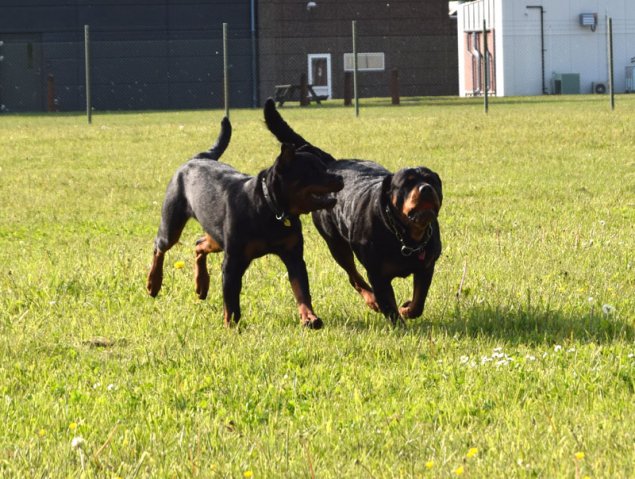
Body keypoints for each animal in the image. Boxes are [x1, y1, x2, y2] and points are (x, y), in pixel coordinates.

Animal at [146, 114, 342, 328]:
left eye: (324, 167)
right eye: (313, 171)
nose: (340, 177)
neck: (270, 208)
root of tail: (197, 158)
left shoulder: (294, 255)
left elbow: (301, 289)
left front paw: (309, 317)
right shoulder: (233, 261)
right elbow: (231, 299)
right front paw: (231, 325)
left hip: (217, 237)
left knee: (199, 244)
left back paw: (201, 285)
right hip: (172, 226)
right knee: (159, 247)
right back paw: (153, 283)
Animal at [264, 101, 442, 326]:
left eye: (431, 180)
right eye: (407, 183)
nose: (426, 188)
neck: (405, 236)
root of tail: (333, 163)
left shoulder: (426, 266)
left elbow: (419, 300)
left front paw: (408, 309)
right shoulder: (378, 275)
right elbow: (389, 306)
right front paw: (398, 320)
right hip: (337, 245)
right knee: (353, 276)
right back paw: (371, 299)